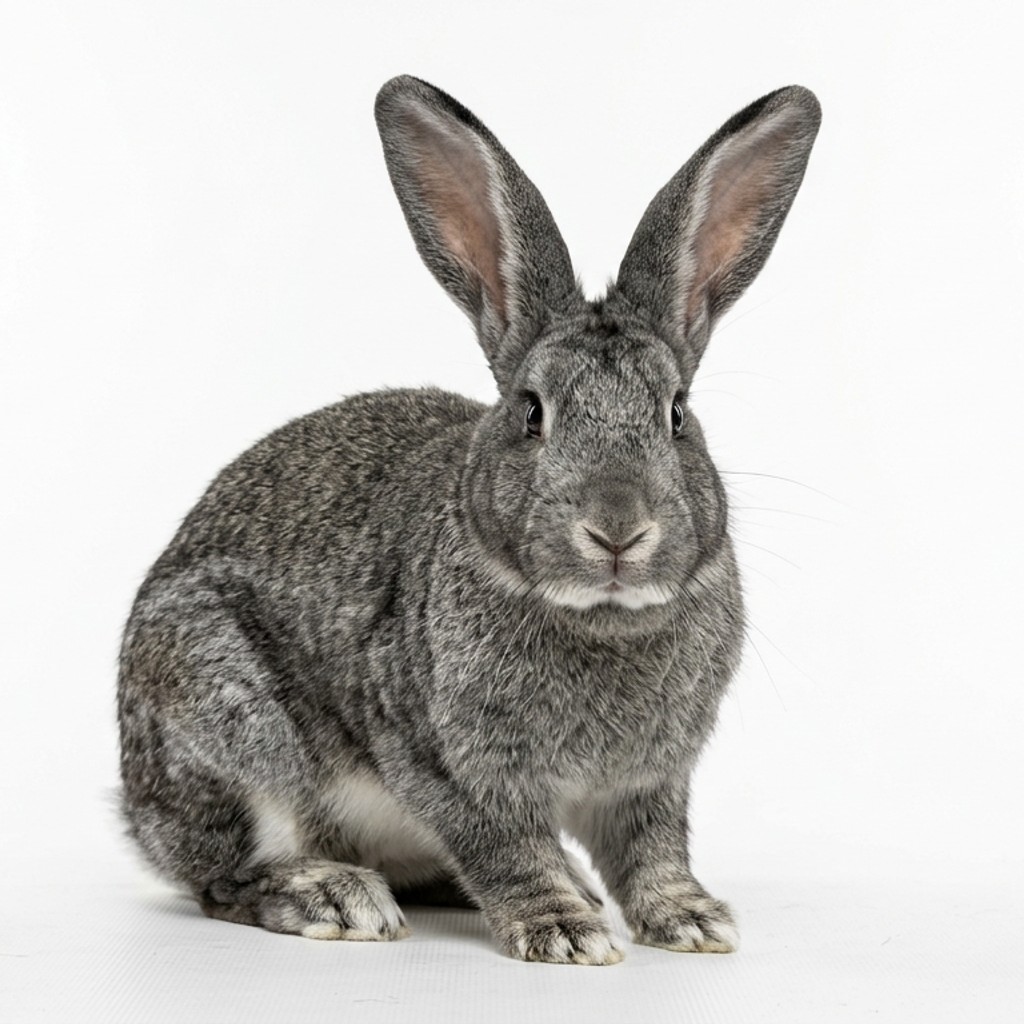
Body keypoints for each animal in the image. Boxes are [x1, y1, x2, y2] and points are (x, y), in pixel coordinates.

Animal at [117, 74, 820, 965]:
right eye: (531, 411)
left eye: (677, 414)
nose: (617, 530)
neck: (601, 617)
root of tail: (134, 810)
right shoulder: (448, 766)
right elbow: (506, 848)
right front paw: (563, 932)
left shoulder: (648, 784)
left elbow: (652, 852)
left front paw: (691, 919)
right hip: (227, 721)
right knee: (224, 877)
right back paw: (334, 896)